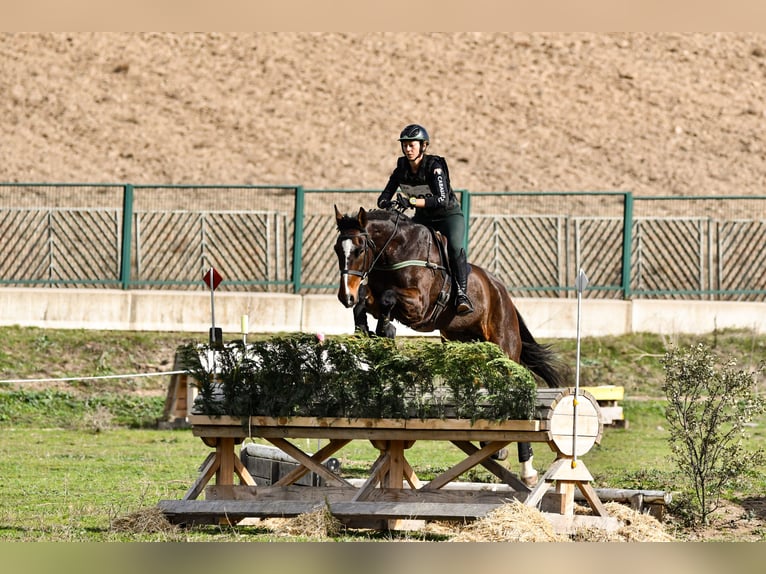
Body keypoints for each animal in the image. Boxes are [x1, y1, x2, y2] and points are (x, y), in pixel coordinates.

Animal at [336, 205, 568, 488]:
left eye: (359, 250)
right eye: (337, 249)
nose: (343, 296)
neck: (394, 249)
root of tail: (503, 292)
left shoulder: (418, 305)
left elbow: (389, 298)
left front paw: (385, 330)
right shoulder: (373, 296)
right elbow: (365, 301)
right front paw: (366, 330)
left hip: (504, 347)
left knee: (516, 385)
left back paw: (528, 470)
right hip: (466, 346)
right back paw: (494, 445)